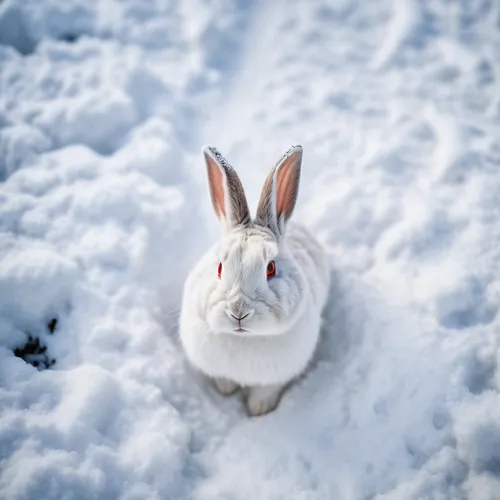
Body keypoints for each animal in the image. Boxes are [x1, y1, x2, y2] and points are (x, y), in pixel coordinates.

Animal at [178, 146, 330, 416]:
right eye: (219, 268)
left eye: (270, 268)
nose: (238, 313)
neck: (244, 339)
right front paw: (226, 390)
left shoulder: (273, 380)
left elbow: (265, 391)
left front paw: (258, 409)